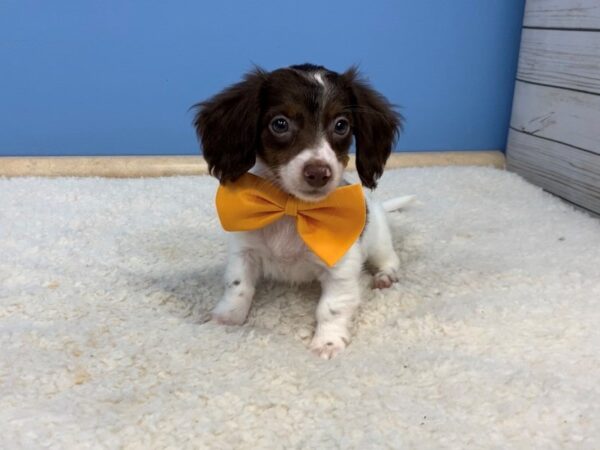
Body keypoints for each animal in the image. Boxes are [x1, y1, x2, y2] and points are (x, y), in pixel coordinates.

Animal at [195, 63, 406, 358]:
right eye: (280, 123)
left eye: (341, 125)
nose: (318, 173)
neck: (292, 209)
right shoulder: (244, 251)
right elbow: (237, 286)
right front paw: (226, 319)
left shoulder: (341, 267)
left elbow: (332, 307)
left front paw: (328, 342)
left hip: (377, 241)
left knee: (390, 259)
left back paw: (385, 277)